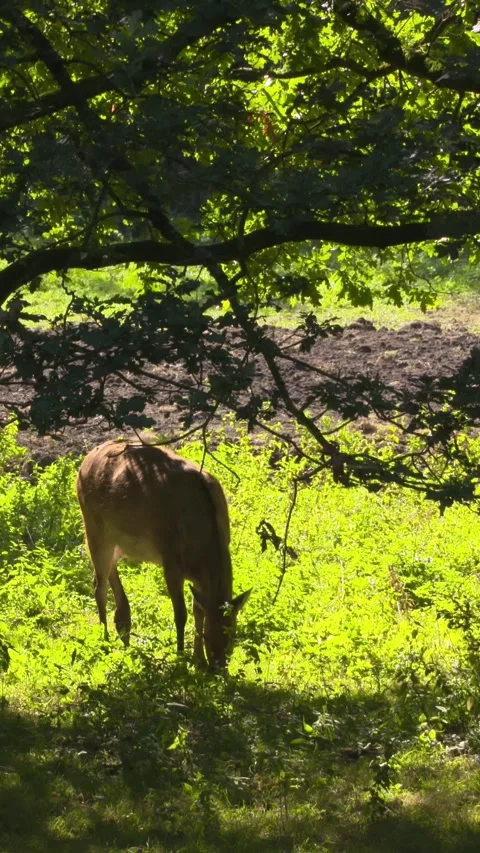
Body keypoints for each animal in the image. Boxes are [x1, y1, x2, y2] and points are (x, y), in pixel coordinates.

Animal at [76, 439, 251, 671]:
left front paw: (197, 661)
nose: (218, 668)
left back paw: (123, 631)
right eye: (208, 636)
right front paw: (180, 659)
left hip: (113, 538)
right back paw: (104, 641)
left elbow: (197, 610)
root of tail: (83, 463)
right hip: (93, 524)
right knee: (99, 585)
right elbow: (181, 614)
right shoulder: (170, 560)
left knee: (110, 575)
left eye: (232, 636)